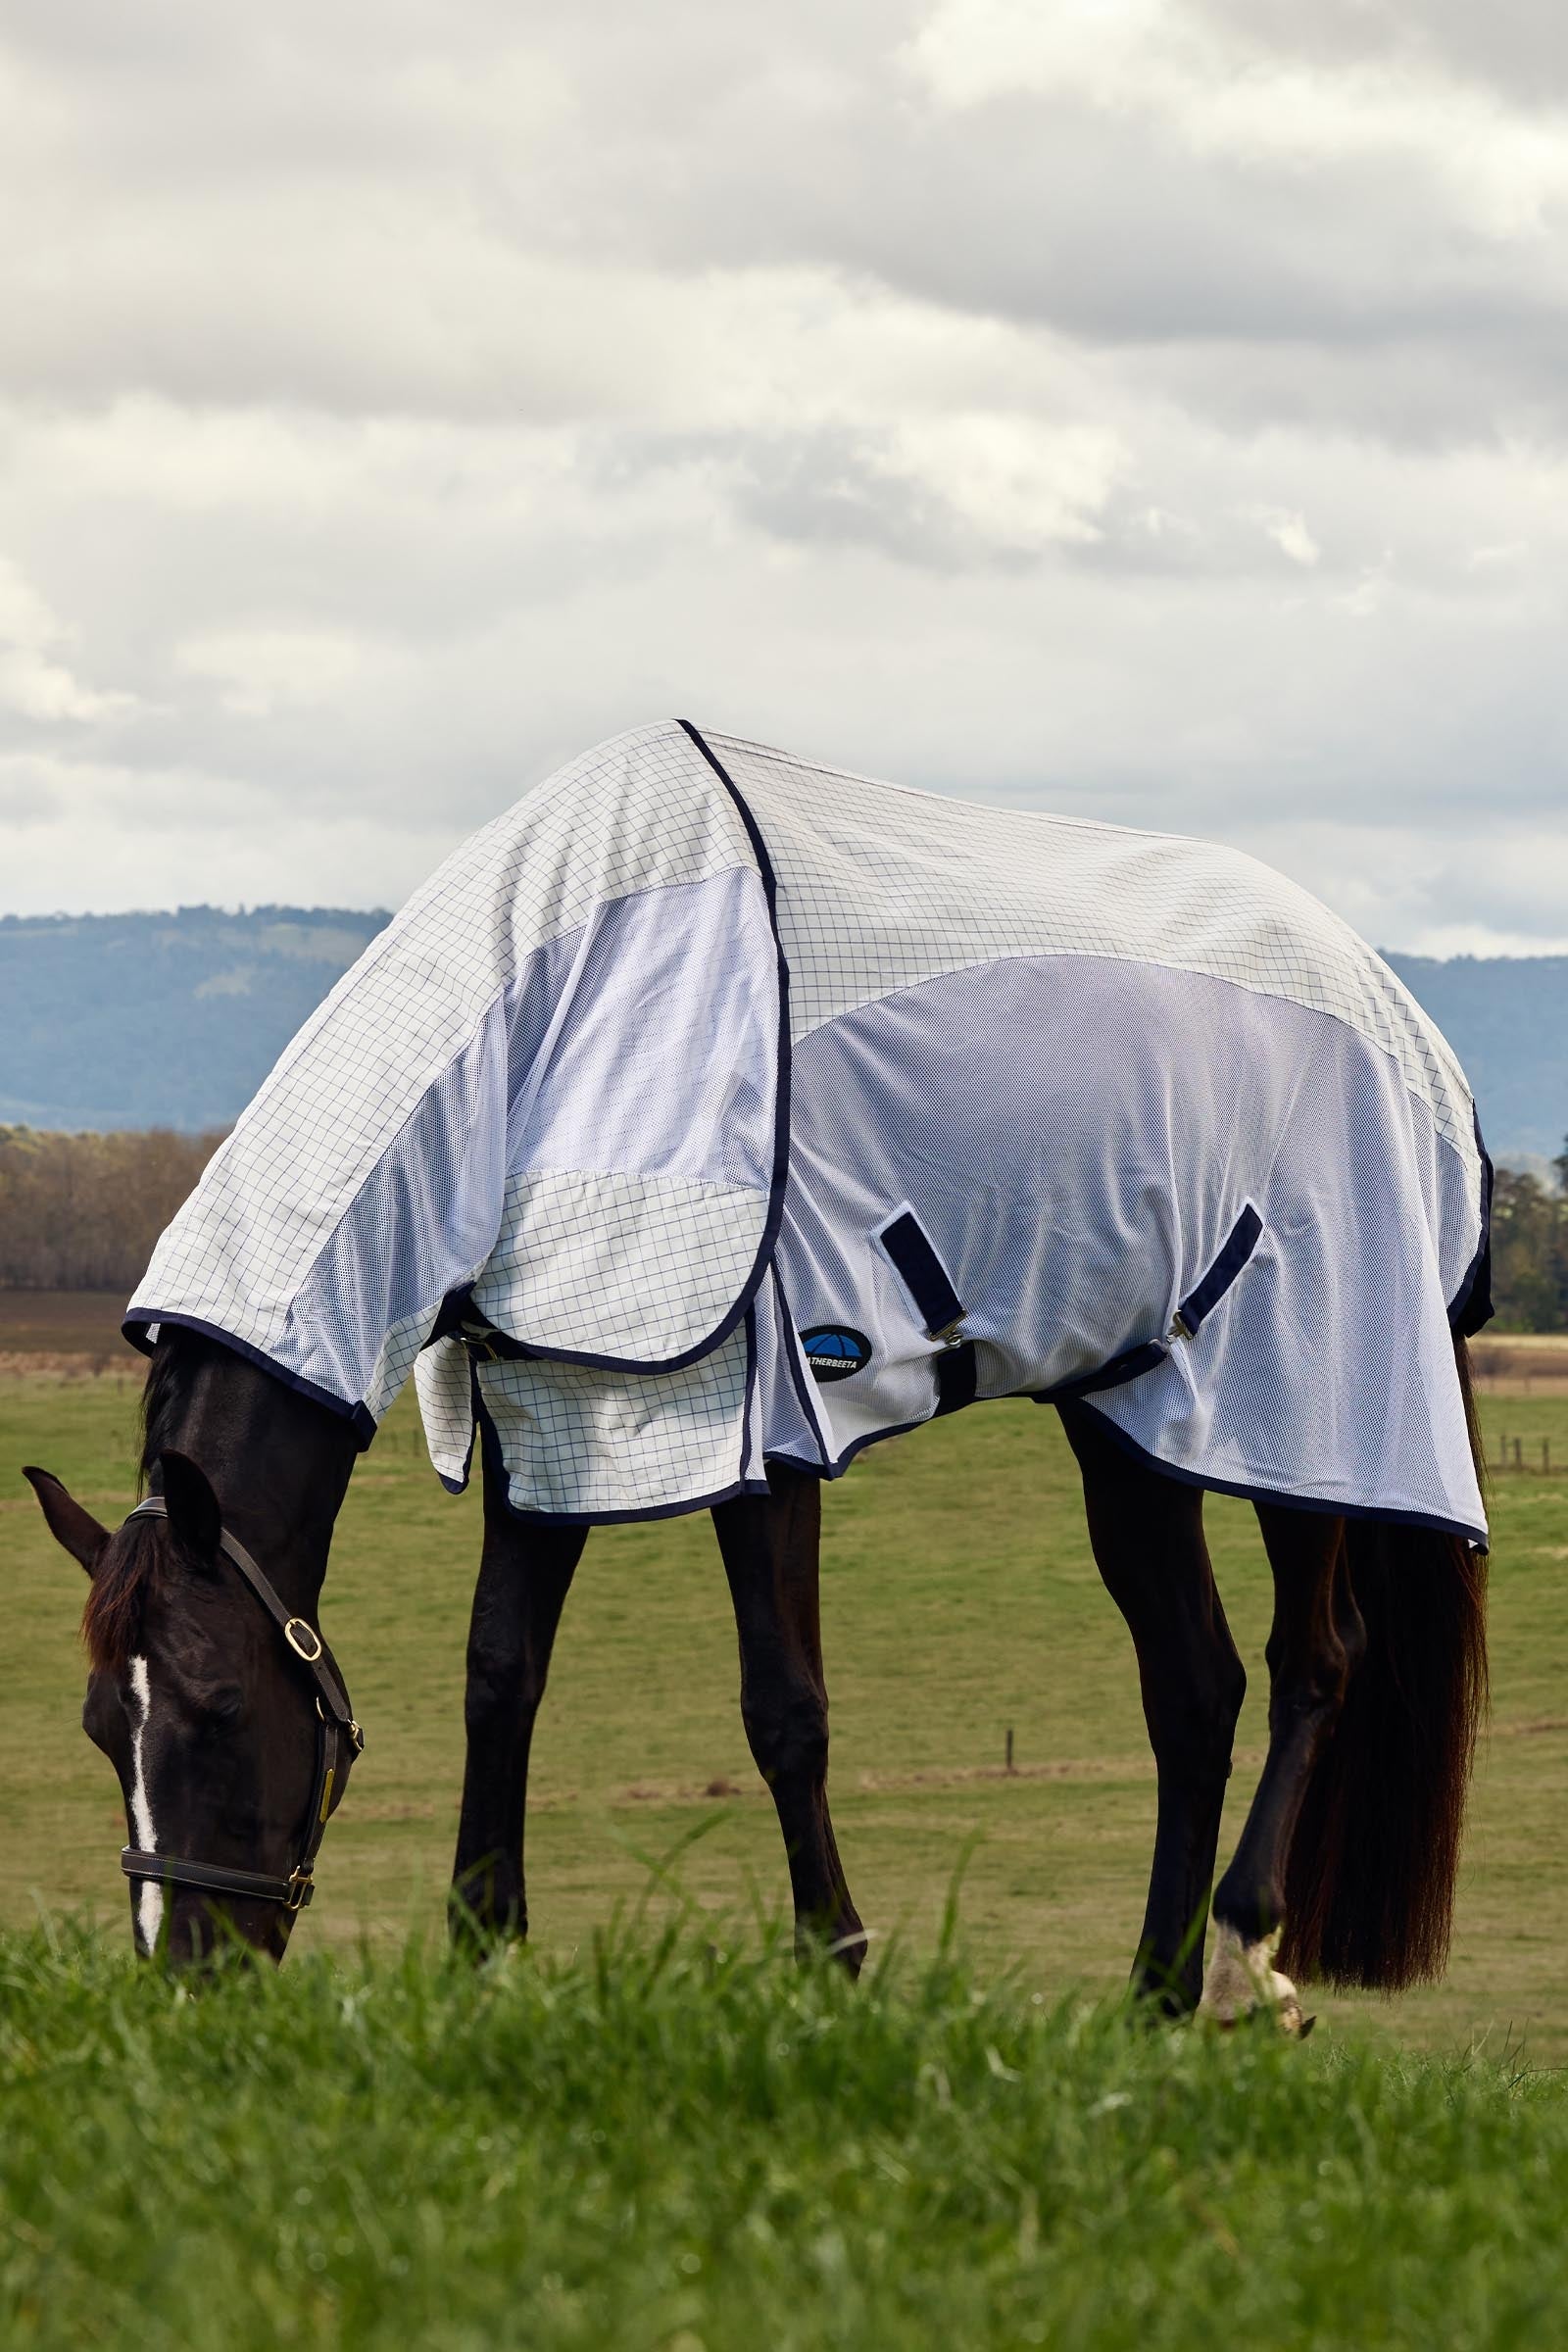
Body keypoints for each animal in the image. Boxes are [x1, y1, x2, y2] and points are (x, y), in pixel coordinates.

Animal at [22, 720, 1491, 2021]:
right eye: (99, 1727)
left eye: (216, 1706)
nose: (189, 1976)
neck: (550, 1017)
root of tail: (1407, 1027)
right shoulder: (556, 1398)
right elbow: (500, 1671)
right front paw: (484, 1955)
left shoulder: (758, 1418)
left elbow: (782, 1708)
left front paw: (834, 1965)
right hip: (1132, 1415)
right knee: (1194, 1688)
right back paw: (1149, 1996)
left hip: (1302, 1404)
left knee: (1315, 1662)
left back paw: (1240, 1957)